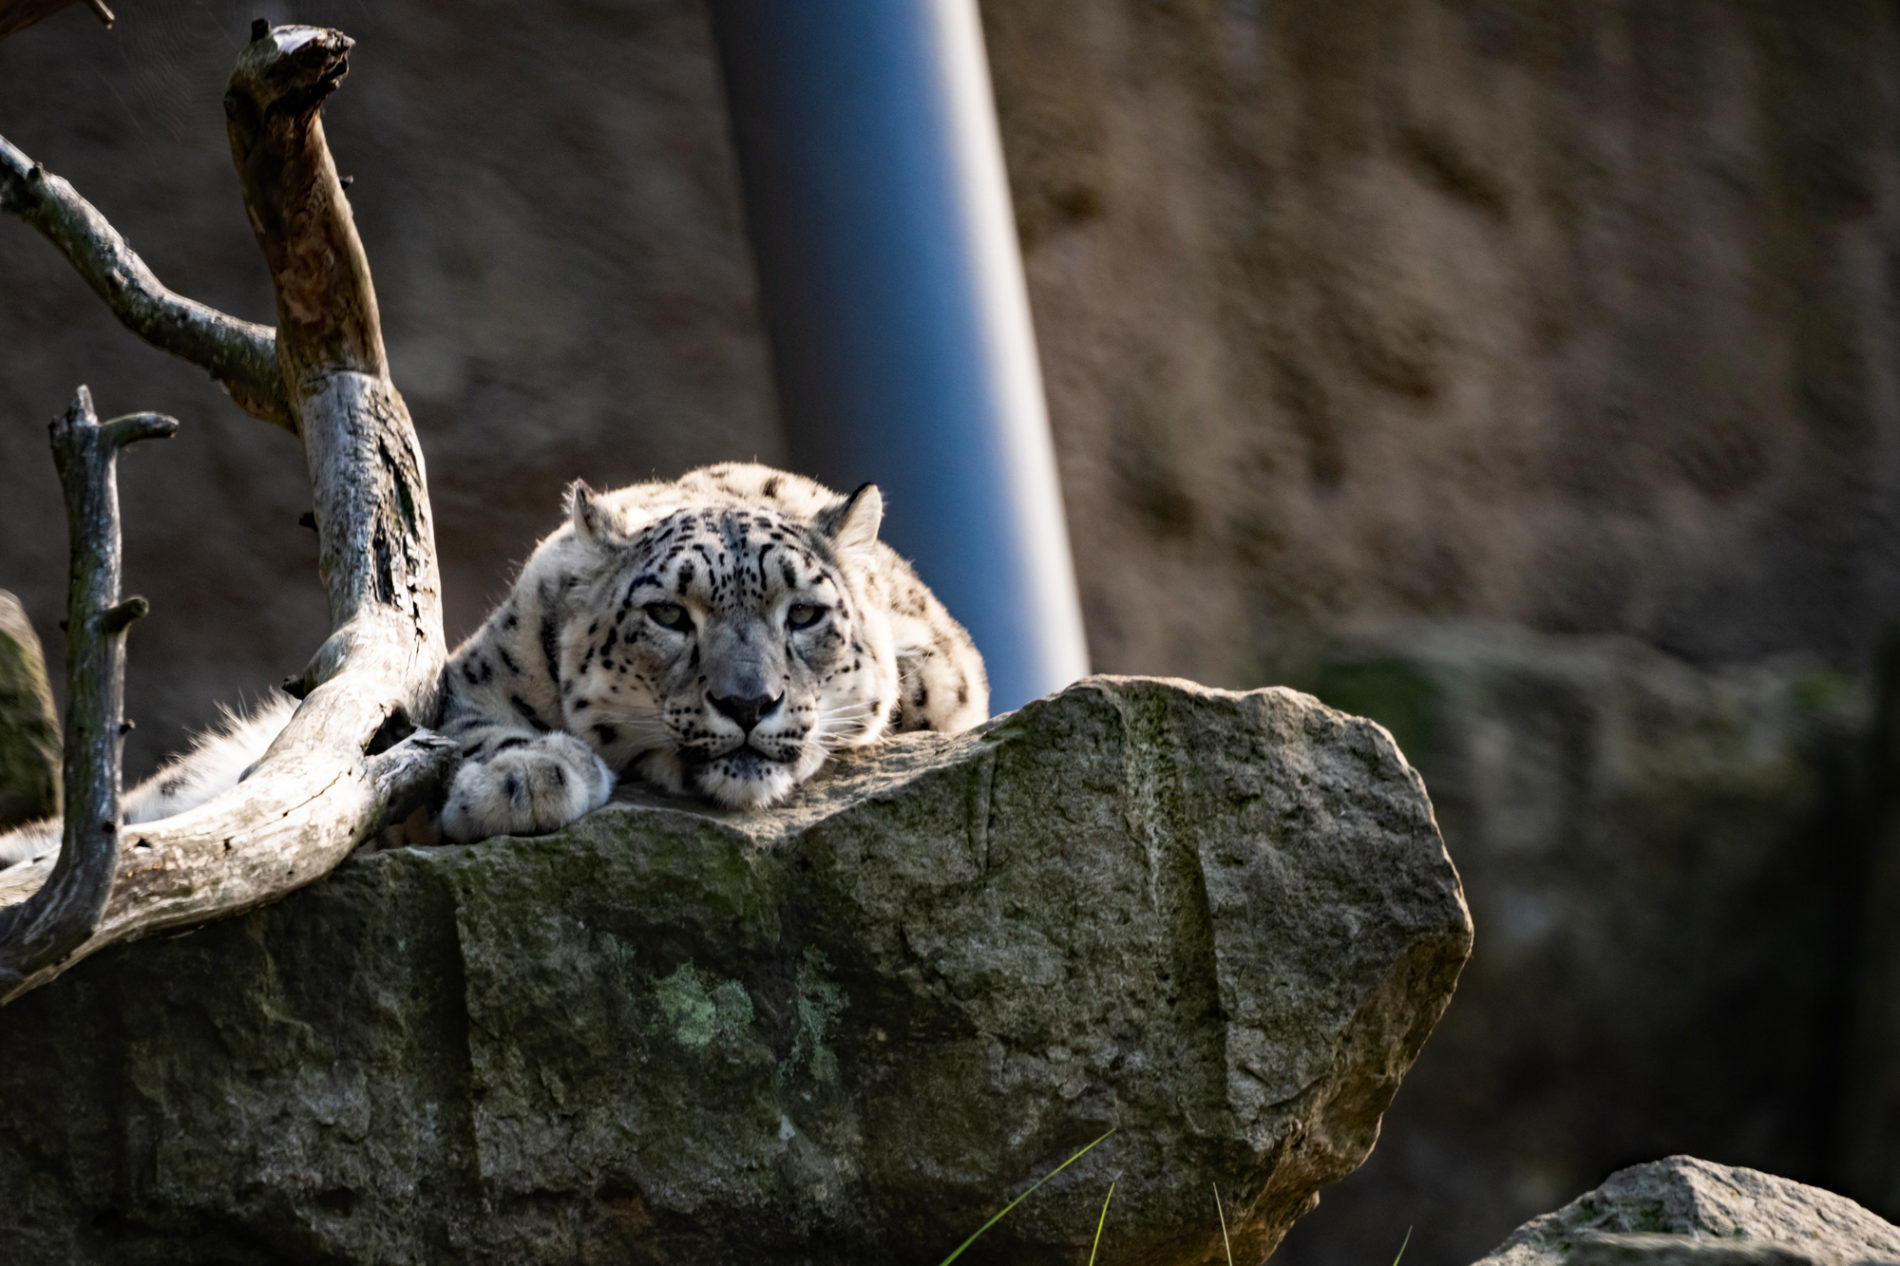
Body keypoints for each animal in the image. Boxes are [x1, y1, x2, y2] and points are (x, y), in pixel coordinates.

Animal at [0, 458, 980, 863]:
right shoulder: (457, 693)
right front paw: (524, 775)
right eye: (669, 614)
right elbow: (454, 735)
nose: (749, 704)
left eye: (804, 614)